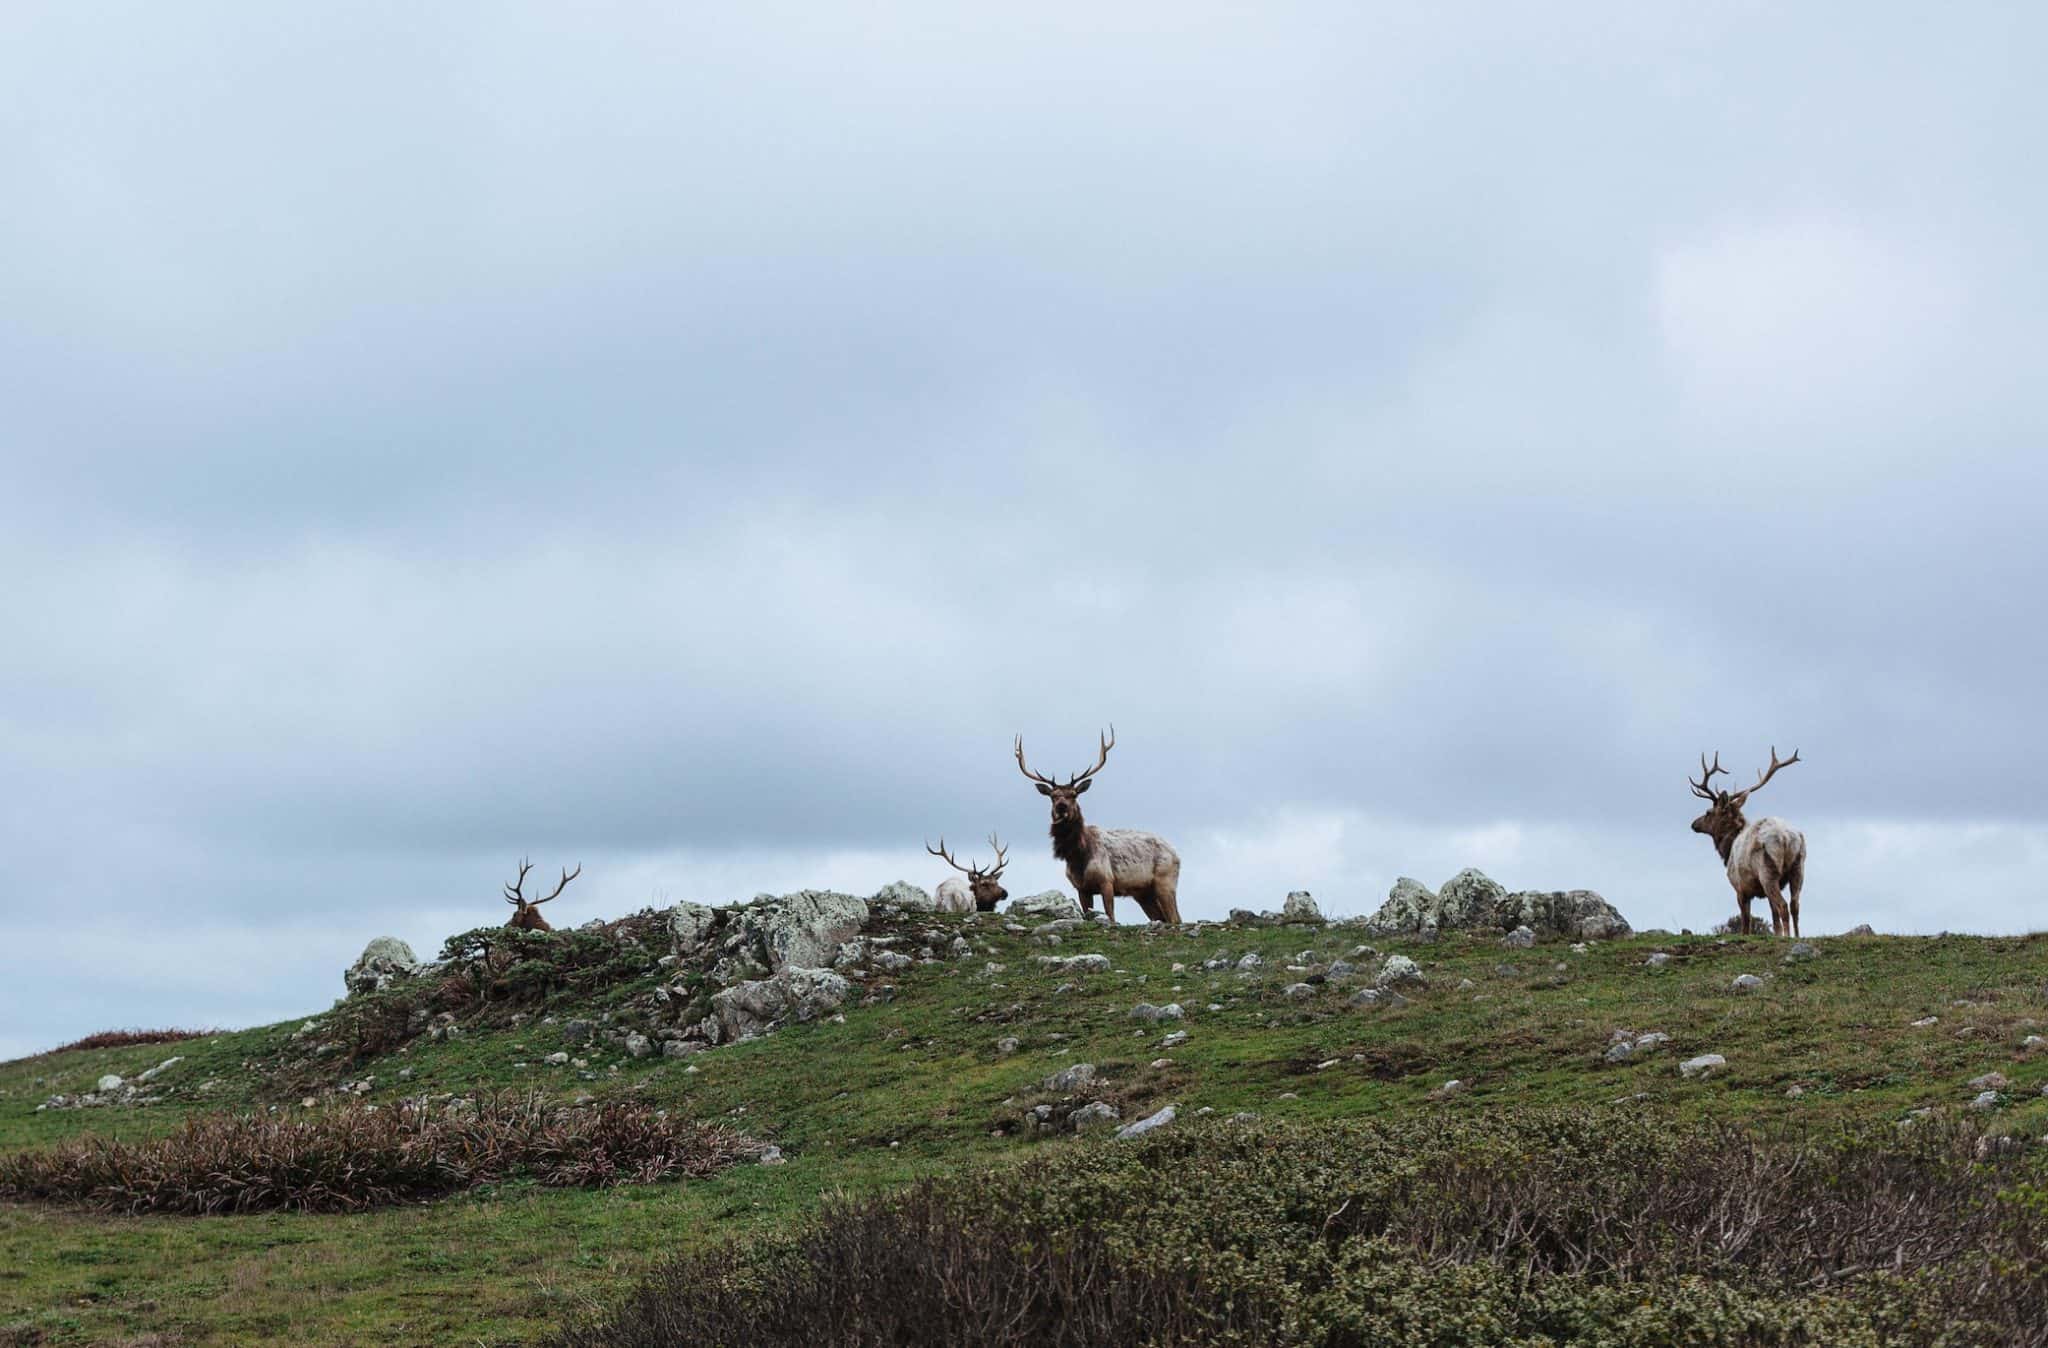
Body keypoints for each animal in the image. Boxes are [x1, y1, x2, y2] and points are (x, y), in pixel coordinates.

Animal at [1011, 725, 1187, 925]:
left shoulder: (1107, 881)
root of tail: (1176, 853)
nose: (1061, 807)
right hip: (1143, 893)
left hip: (1165, 880)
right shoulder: (1081, 888)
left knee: (1175, 918)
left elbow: (1111, 916)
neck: (1078, 857)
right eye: (1053, 796)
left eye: (1073, 794)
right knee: (1162, 917)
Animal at [1687, 745, 1802, 934]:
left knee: (1783, 906)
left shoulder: (1740, 887)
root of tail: (1786, 837)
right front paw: (1778, 935)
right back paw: (1797, 936)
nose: (1693, 824)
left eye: (1708, 812)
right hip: (1798, 868)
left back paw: (1789, 937)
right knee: (1795, 906)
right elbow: (1774, 919)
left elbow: (1745, 923)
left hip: (1767, 872)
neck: (1727, 850)